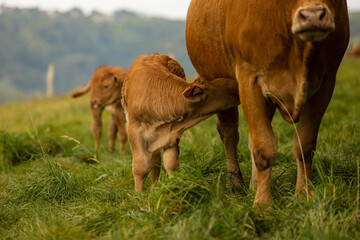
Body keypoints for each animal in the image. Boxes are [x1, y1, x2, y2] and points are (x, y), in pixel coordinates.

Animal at [122, 53, 240, 192]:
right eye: (229, 88)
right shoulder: (134, 130)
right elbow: (140, 168)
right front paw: (139, 195)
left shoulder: (172, 132)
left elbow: (171, 164)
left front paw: (174, 189)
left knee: (155, 160)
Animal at [186, 0, 348, 206]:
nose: (312, 15)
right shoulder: (249, 79)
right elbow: (264, 149)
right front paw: (263, 204)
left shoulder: (327, 82)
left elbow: (304, 144)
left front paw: (303, 195)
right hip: (218, 83)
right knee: (229, 134)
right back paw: (236, 184)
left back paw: (253, 185)